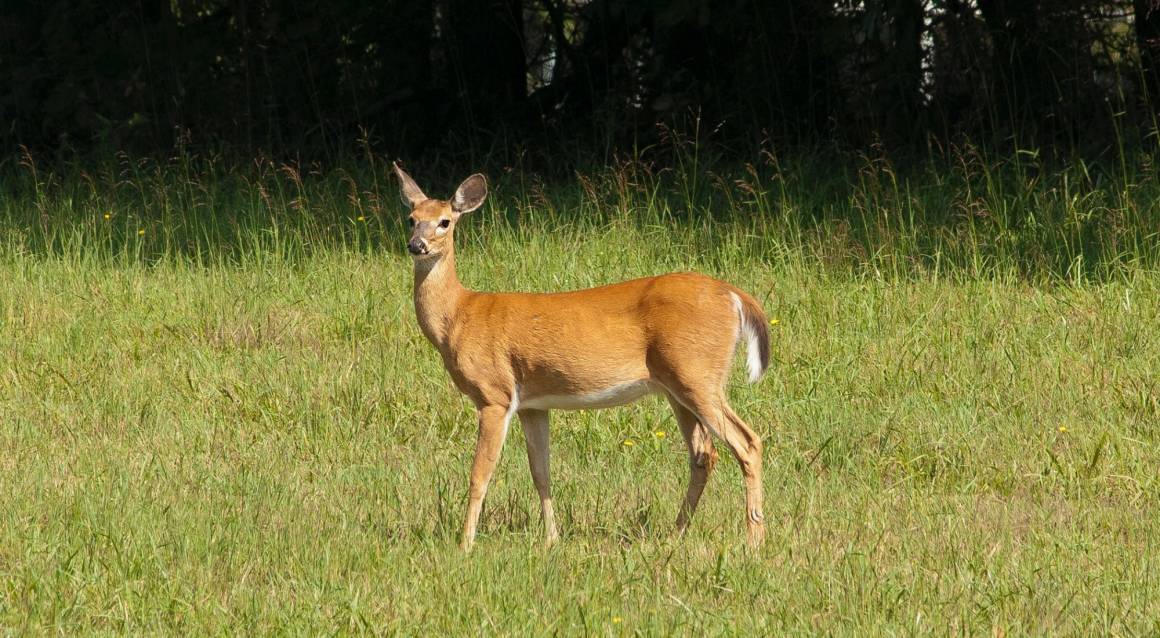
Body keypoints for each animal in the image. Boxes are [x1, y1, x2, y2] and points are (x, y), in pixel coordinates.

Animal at [394, 163, 771, 550]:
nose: (416, 245)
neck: (459, 316)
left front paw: (465, 544)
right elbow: (541, 472)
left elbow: (479, 474)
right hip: (676, 386)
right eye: (411, 218)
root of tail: (735, 295)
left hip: (697, 373)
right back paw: (676, 533)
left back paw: (754, 539)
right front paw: (551, 539)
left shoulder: (494, 394)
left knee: (747, 442)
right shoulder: (532, 404)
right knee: (703, 454)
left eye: (445, 221)